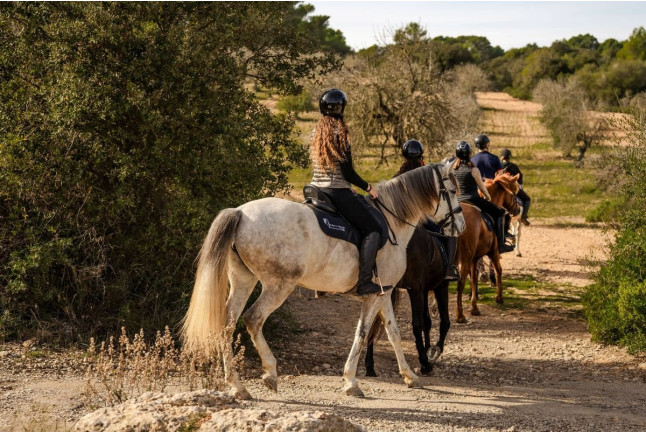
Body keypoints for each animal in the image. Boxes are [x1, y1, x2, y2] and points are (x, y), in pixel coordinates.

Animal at [365, 228, 451, 376]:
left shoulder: (423, 290)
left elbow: (427, 322)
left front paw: (428, 349)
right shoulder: (438, 287)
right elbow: (443, 322)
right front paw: (434, 351)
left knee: (373, 320)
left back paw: (370, 366)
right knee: (417, 325)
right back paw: (425, 365)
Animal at [455, 173, 519, 323]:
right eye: (514, 194)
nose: (518, 209)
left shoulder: (474, 259)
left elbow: (474, 279)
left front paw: (474, 307)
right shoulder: (494, 253)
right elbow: (498, 270)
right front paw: (499, 297)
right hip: (465, 258)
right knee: (460, 283)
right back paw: (460, 315)